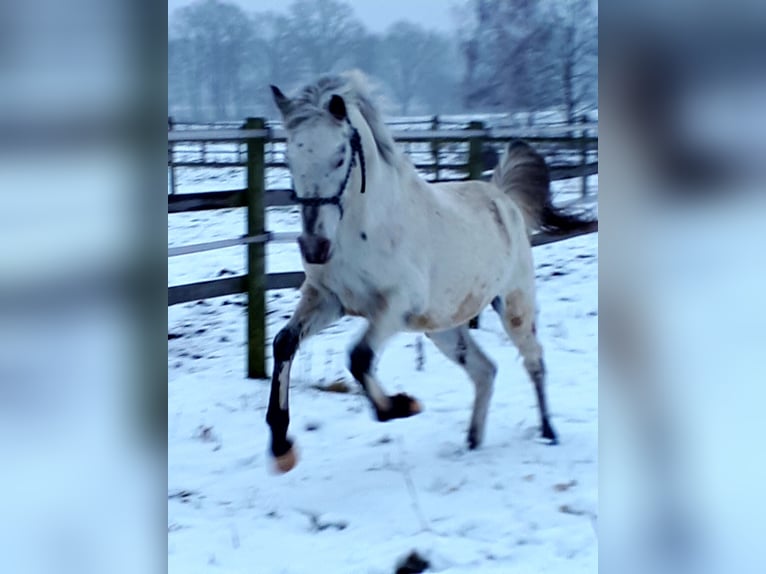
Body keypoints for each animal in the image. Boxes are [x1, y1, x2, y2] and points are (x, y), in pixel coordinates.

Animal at [266, 71, 591, 473]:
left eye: (340, 156)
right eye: (288, 157)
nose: (314, 247)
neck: (367, 227)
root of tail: (503, 198)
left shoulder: (395, 305)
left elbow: (359, 357)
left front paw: (403, 405)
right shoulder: (328, 300)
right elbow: (284, 343)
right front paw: (282, 446)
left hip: (515, 305)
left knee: (534, 361)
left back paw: (548, 433)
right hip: (444, 327)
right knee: (485, 370)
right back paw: (472, 441)